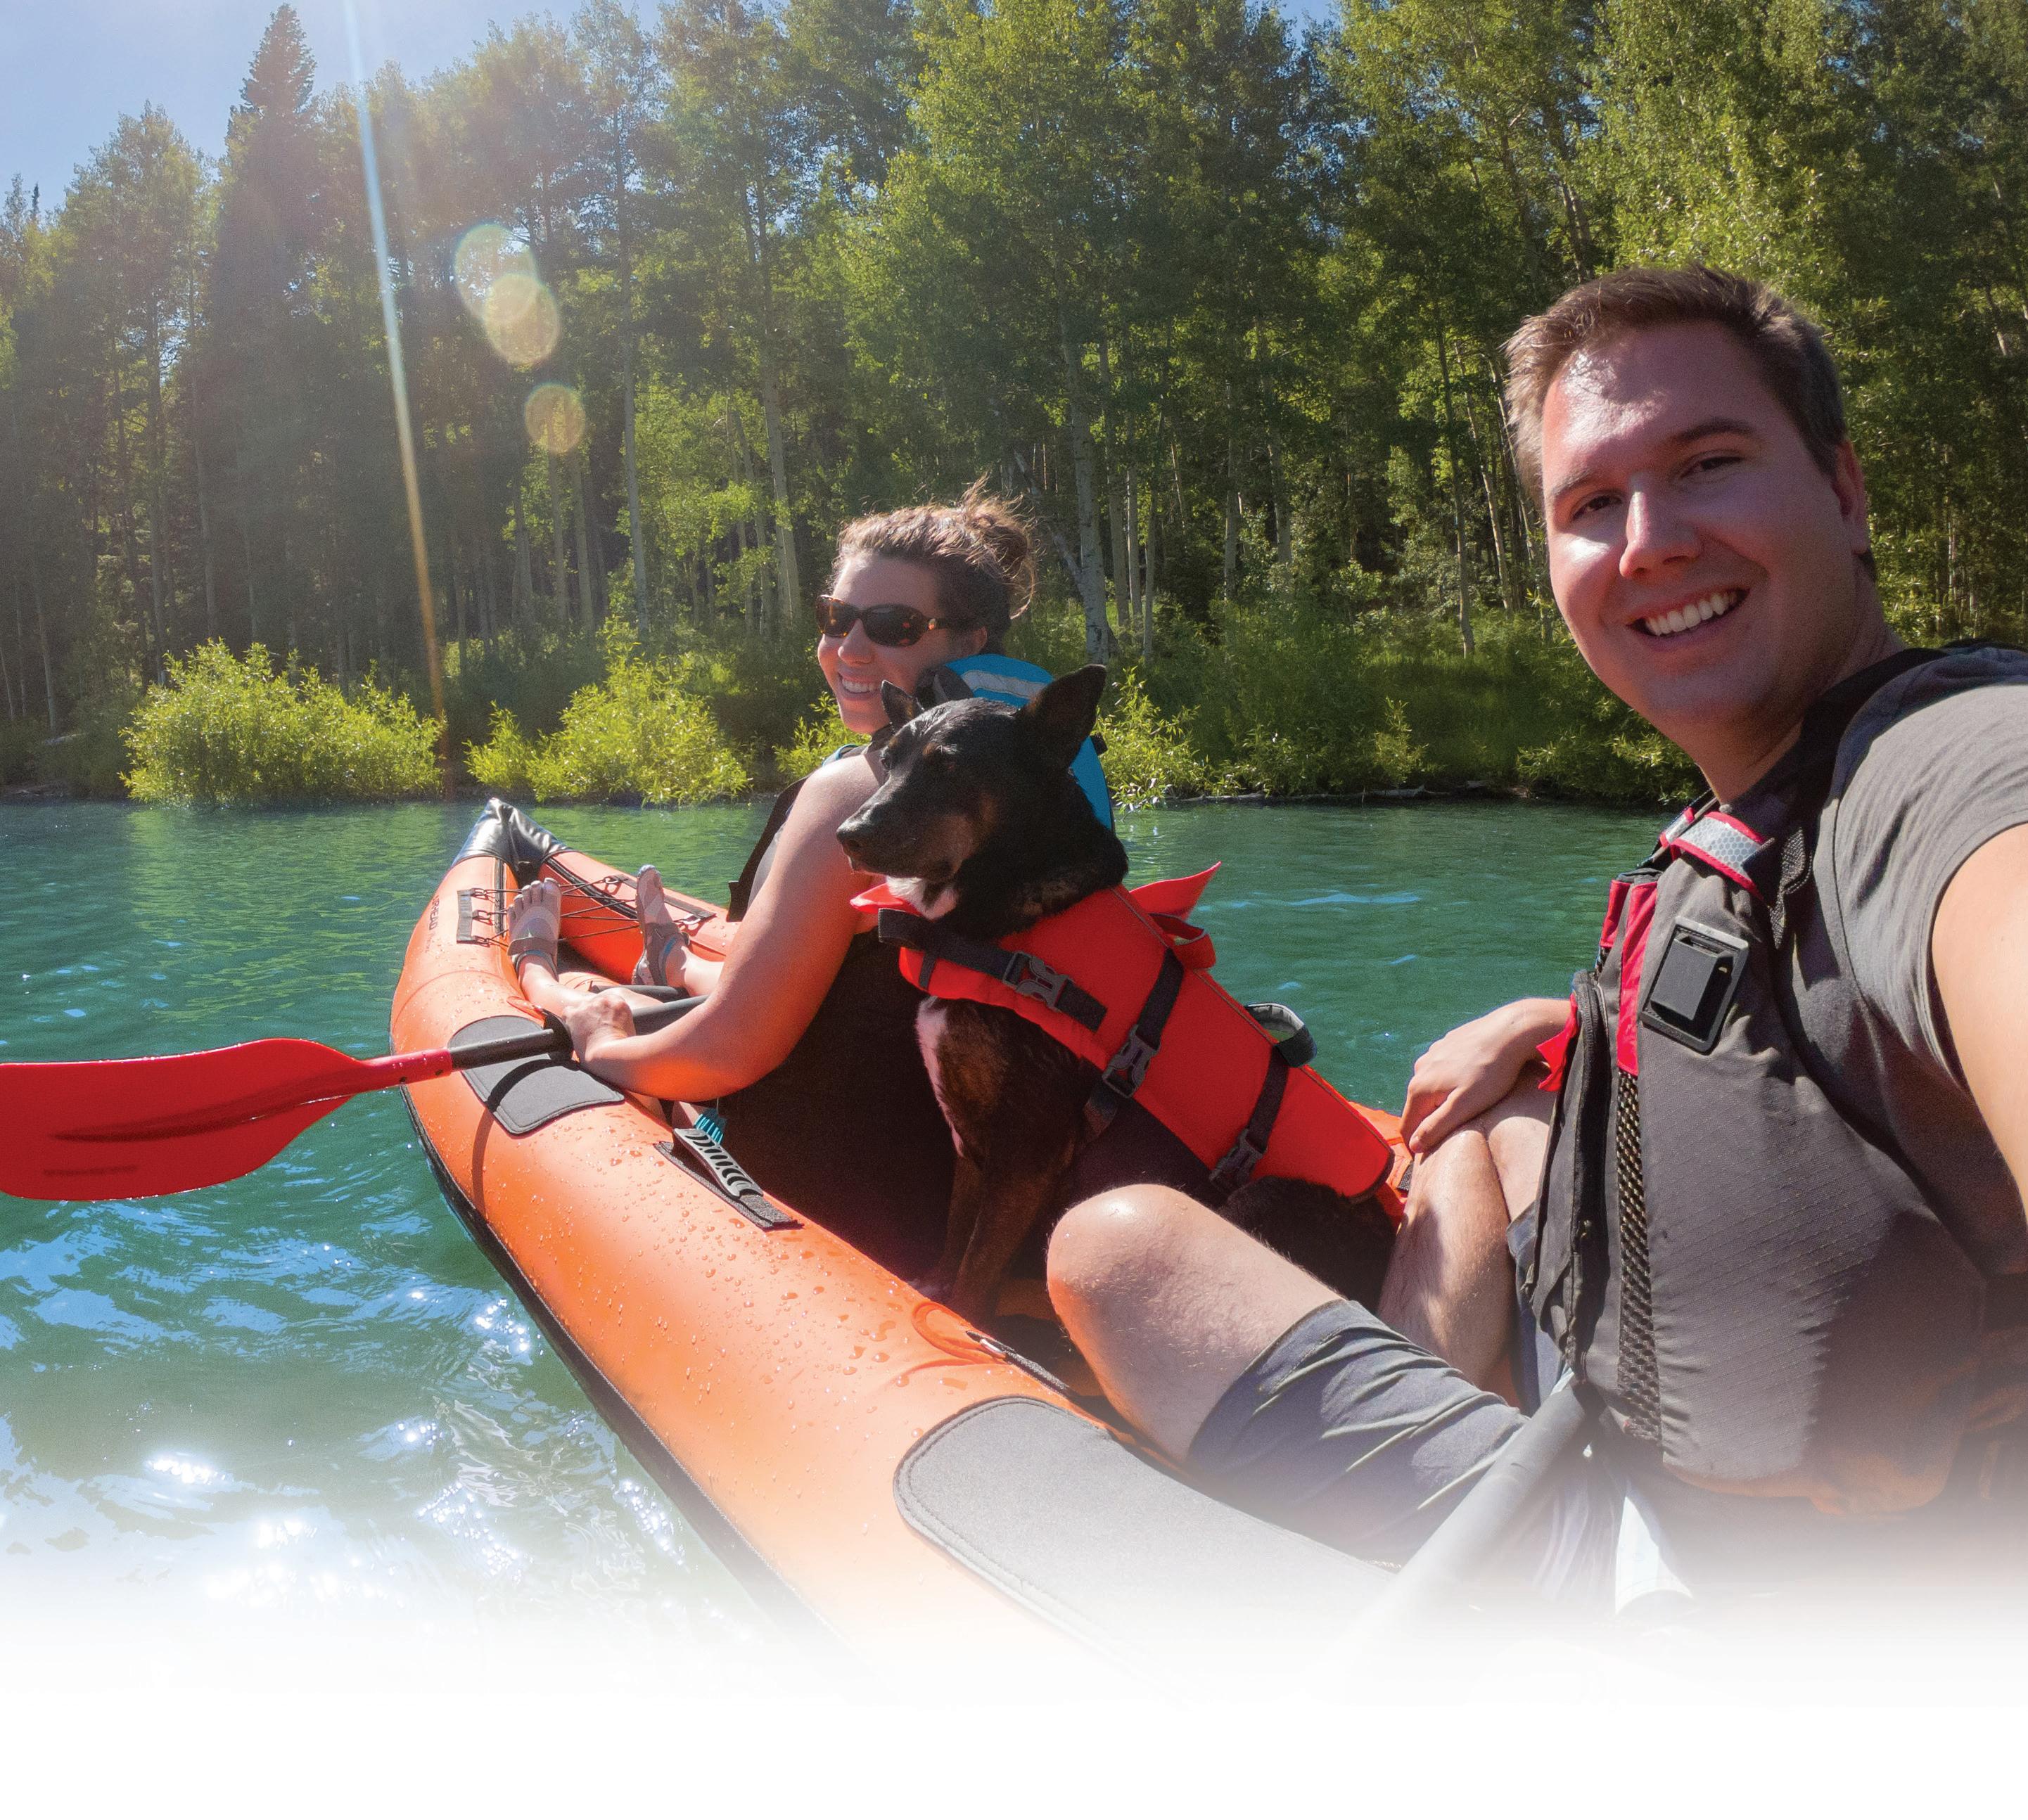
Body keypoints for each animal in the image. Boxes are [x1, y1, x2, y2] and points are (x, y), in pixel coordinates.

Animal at [836, 664, 1396, 1322]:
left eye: (948, 767)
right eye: (889, 760)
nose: (848, 835)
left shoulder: (1029, 1147)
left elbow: (975, 1274)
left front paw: (962, 1320)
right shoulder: (971, 1139)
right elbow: (955, 1245)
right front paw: (936, 1295)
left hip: (1261, 1197)